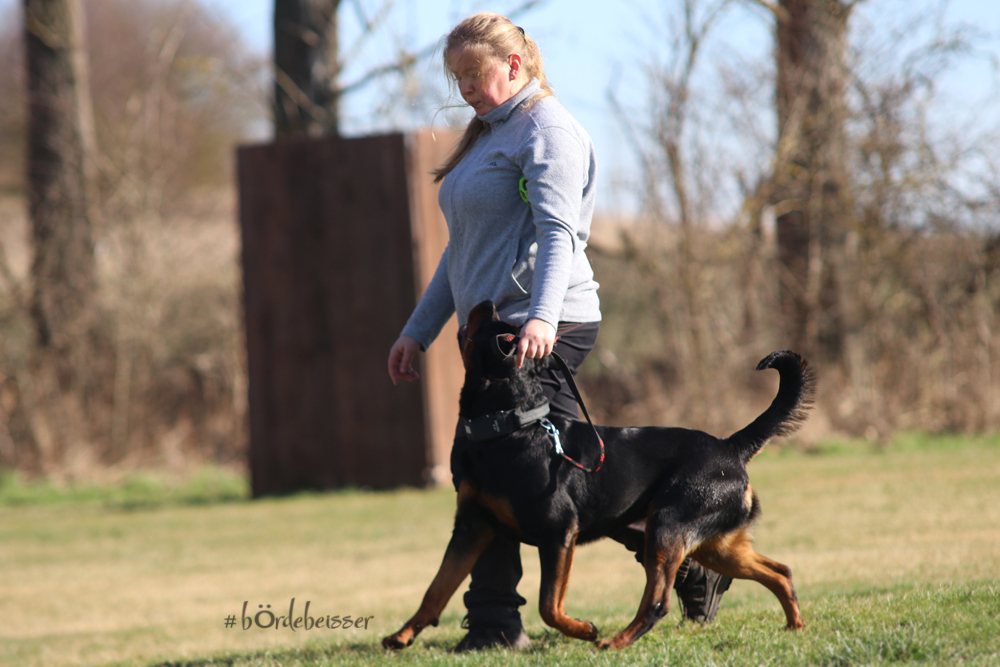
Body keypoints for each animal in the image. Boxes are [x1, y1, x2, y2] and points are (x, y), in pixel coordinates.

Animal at [383, 301, 815, 650]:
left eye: (484, 323)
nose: (487, 300)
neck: (507, 427)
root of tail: (730, 446)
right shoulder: (471, 528)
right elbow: (436, 590)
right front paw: (402, 636)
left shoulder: (558, 532)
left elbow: (547, 604)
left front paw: (583, 629)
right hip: (714, 544)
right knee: (779, 571)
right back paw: (795, 626)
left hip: (668, 528)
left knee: (658, 600)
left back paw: (617, 641)